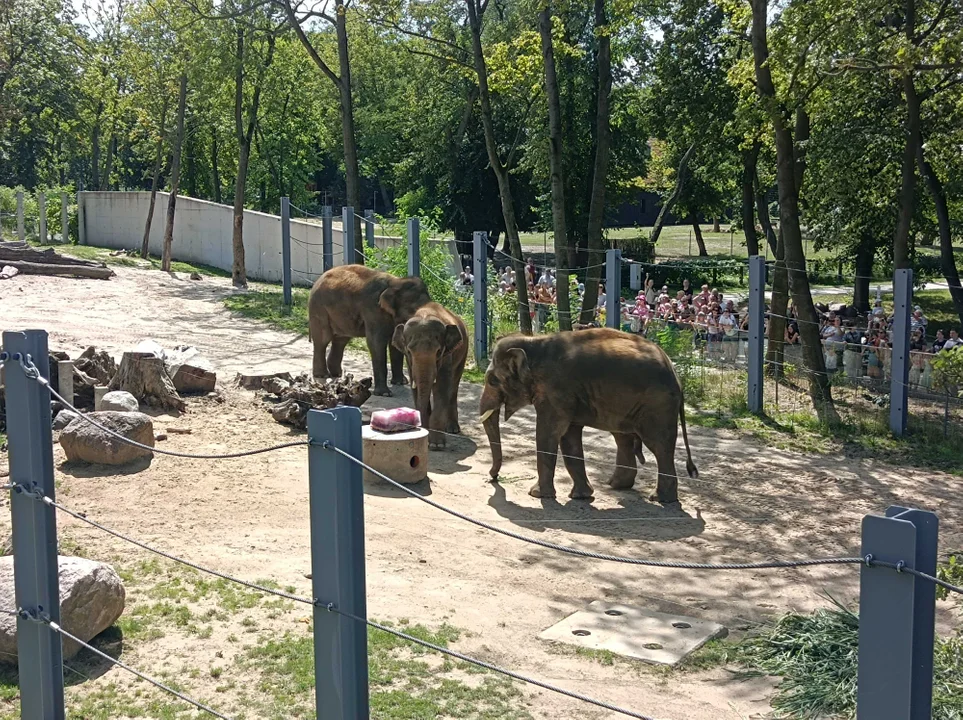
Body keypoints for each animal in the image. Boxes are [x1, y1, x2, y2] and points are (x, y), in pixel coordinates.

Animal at [308, 264, 430, 396]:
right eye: (414, 310)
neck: (395, 282)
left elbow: (394, 343)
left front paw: (400, 383)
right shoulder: (373, 309)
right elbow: (376, 343)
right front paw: (385, 394)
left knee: (341, 340)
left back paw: (337, 374)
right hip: (318, 308)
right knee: (323, 339)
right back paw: (322, 375)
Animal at [390, 300, 468, 448]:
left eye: (438, 352)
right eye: (409, 351)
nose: (422, 429)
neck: (425, 313)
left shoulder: (446, 357)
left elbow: (442, 388)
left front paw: (436, 445)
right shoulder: (410, 363)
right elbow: (416, 388)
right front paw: (426, 438)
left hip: (463, 354)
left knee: (453, 386)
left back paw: (452, 429)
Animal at [478, 330, 696, 504]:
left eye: (492, 380)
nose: (493, 477)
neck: (534, 342)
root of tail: (675, 374)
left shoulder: (556, 391)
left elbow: (548, 434)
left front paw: (537, 495)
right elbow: (569, 438)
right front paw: (581, 496)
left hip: (657, 406)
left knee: (659, 446)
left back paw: (660, 498)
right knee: (624, 438)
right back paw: (617, 485)